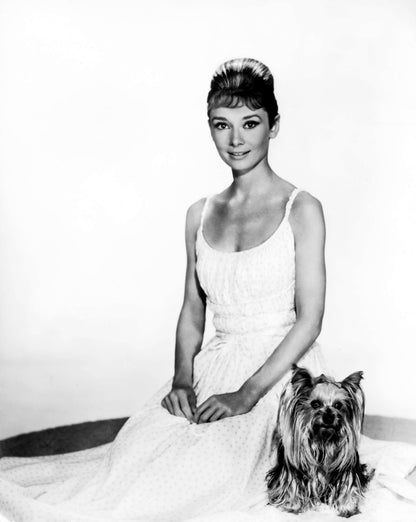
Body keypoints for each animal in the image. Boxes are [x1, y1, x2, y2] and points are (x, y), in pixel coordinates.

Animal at [266, 364, 374, 512]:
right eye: (315, 404)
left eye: (338, 405)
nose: (329, 417)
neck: (323, 439)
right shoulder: (291, 472)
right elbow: (291, 486)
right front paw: (291, 504)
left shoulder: (346, 471)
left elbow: (347, 487)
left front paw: (347, 507)